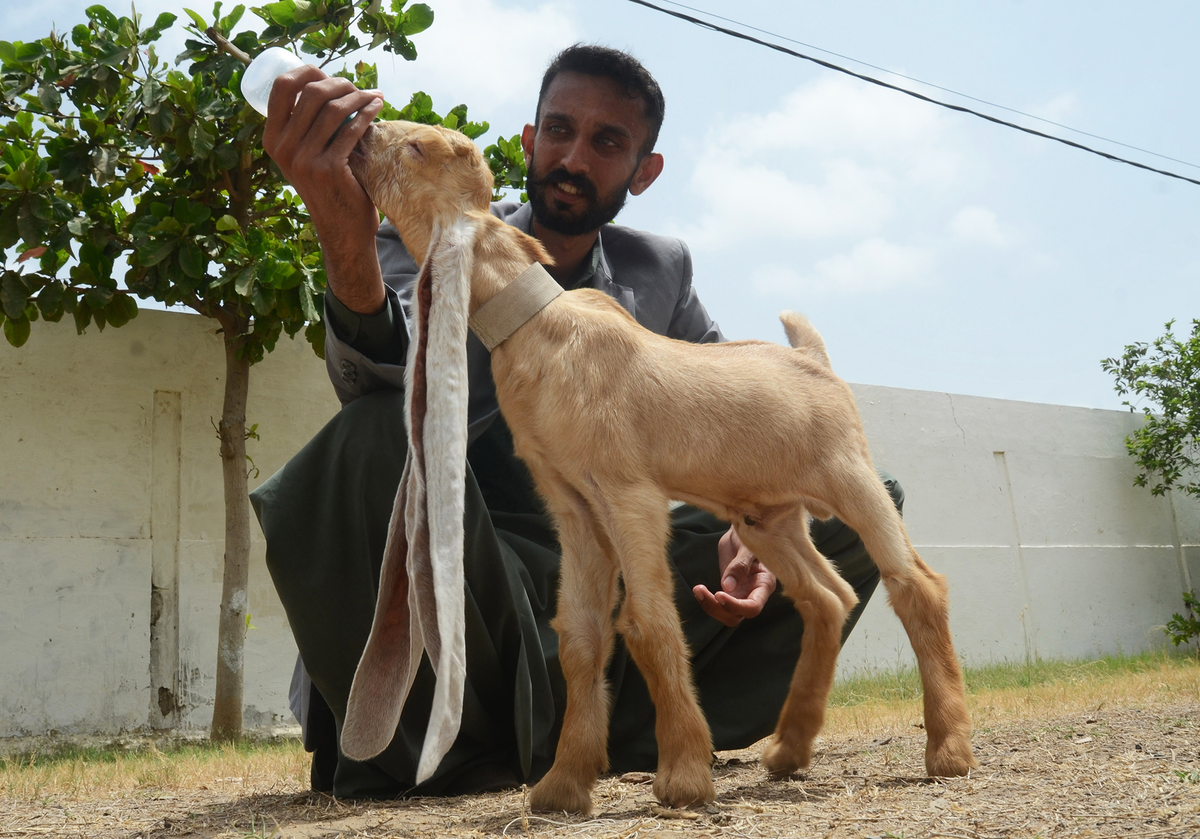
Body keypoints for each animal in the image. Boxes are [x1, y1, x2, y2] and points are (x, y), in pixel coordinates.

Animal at [338, 120, 974, 816]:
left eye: (418, 149)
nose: (363, 133)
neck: (539, 330)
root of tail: (814, 360)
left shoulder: (627, 493)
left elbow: (647, 622)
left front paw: (684, 777)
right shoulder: (574, 506)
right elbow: (582, 635)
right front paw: (562, 785)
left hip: (849, 473)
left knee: (916, 585)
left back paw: (948, 750)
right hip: (767, 519)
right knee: (826, 596)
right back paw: (789, 748)